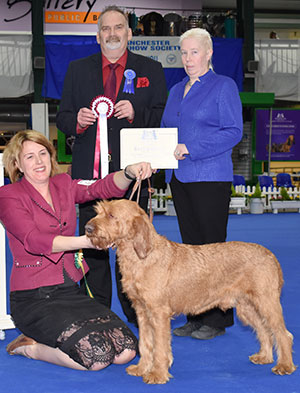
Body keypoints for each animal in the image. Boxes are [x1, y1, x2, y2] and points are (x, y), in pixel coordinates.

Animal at [85, 199, 296, 382]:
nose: (87, 229)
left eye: (111, 215)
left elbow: (160, 347)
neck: (142, 256)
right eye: (99, 212)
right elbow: (145, 344)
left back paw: (284, 365)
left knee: (282, 333)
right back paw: (264, 357)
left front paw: (158, 374)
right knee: (264, 330)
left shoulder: (159, 314)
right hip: (247, 308)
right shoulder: (142, 313)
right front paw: (142, 368)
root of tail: (270, 255)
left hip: (267, 302)